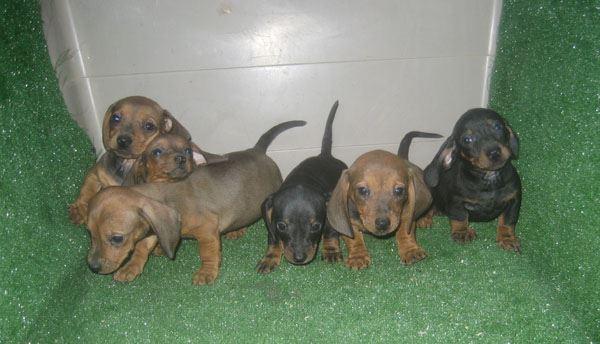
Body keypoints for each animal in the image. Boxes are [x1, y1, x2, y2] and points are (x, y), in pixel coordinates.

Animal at [68, 97, 223, 226]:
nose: (123, 140)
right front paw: (80, 208)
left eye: (149, 126)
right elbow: (87, 188)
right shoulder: (96, 172)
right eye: (115, 118)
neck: (127, 164)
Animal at [85, 119, 304, 284]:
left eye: (117, 238)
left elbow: (208, 252)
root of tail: (257, 150)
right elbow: (141, 247)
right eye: (90, 234)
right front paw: (131, 267)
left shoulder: (207, 230)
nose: (92, 267)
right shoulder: (152, 228)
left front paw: (207, 272)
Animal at [256, 101, 346, 272]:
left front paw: (331, 250)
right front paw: (270, 256)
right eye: (282, 226)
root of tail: (325, 155)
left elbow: (330, 230)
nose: (299, 258)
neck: (303, 179)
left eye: (316, 226)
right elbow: (272, 236)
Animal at [328, 131, 440, 268]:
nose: (382, 223)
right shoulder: (349, 220)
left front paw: (410, 250)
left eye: (399, 190)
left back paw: (425, 218)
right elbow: (354, 239)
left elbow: (404, 231)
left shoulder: (406, 213)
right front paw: (358, 256)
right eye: (362, 190)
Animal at [424, 108, 524, 253]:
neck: (489, 180)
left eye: (497, 126)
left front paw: (507, 238)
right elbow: (460, 217)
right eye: (467, 139)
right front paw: (462, 232)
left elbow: (507, 221)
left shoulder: (513, 199)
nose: (494, 153)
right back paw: (425, 218)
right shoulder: (456, 201)